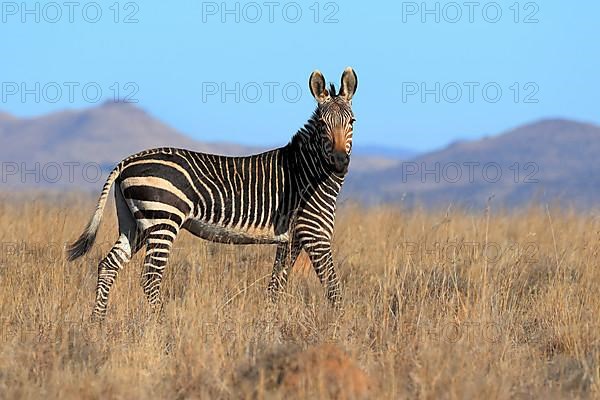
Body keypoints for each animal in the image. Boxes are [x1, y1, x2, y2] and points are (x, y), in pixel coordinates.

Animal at [67, 68, 356, 318]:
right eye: (323, 125)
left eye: (352, 122)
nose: (340, 161)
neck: (307, 171)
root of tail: (127, 161)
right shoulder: (315, 235)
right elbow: (333, 288)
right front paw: (341, 327)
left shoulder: (291, 240)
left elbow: (276, 286)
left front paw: (269, 323)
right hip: (163, 220)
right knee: (150, 278)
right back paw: (161, 326)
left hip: (134, 224)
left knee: (108, 266)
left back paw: (97, 322)